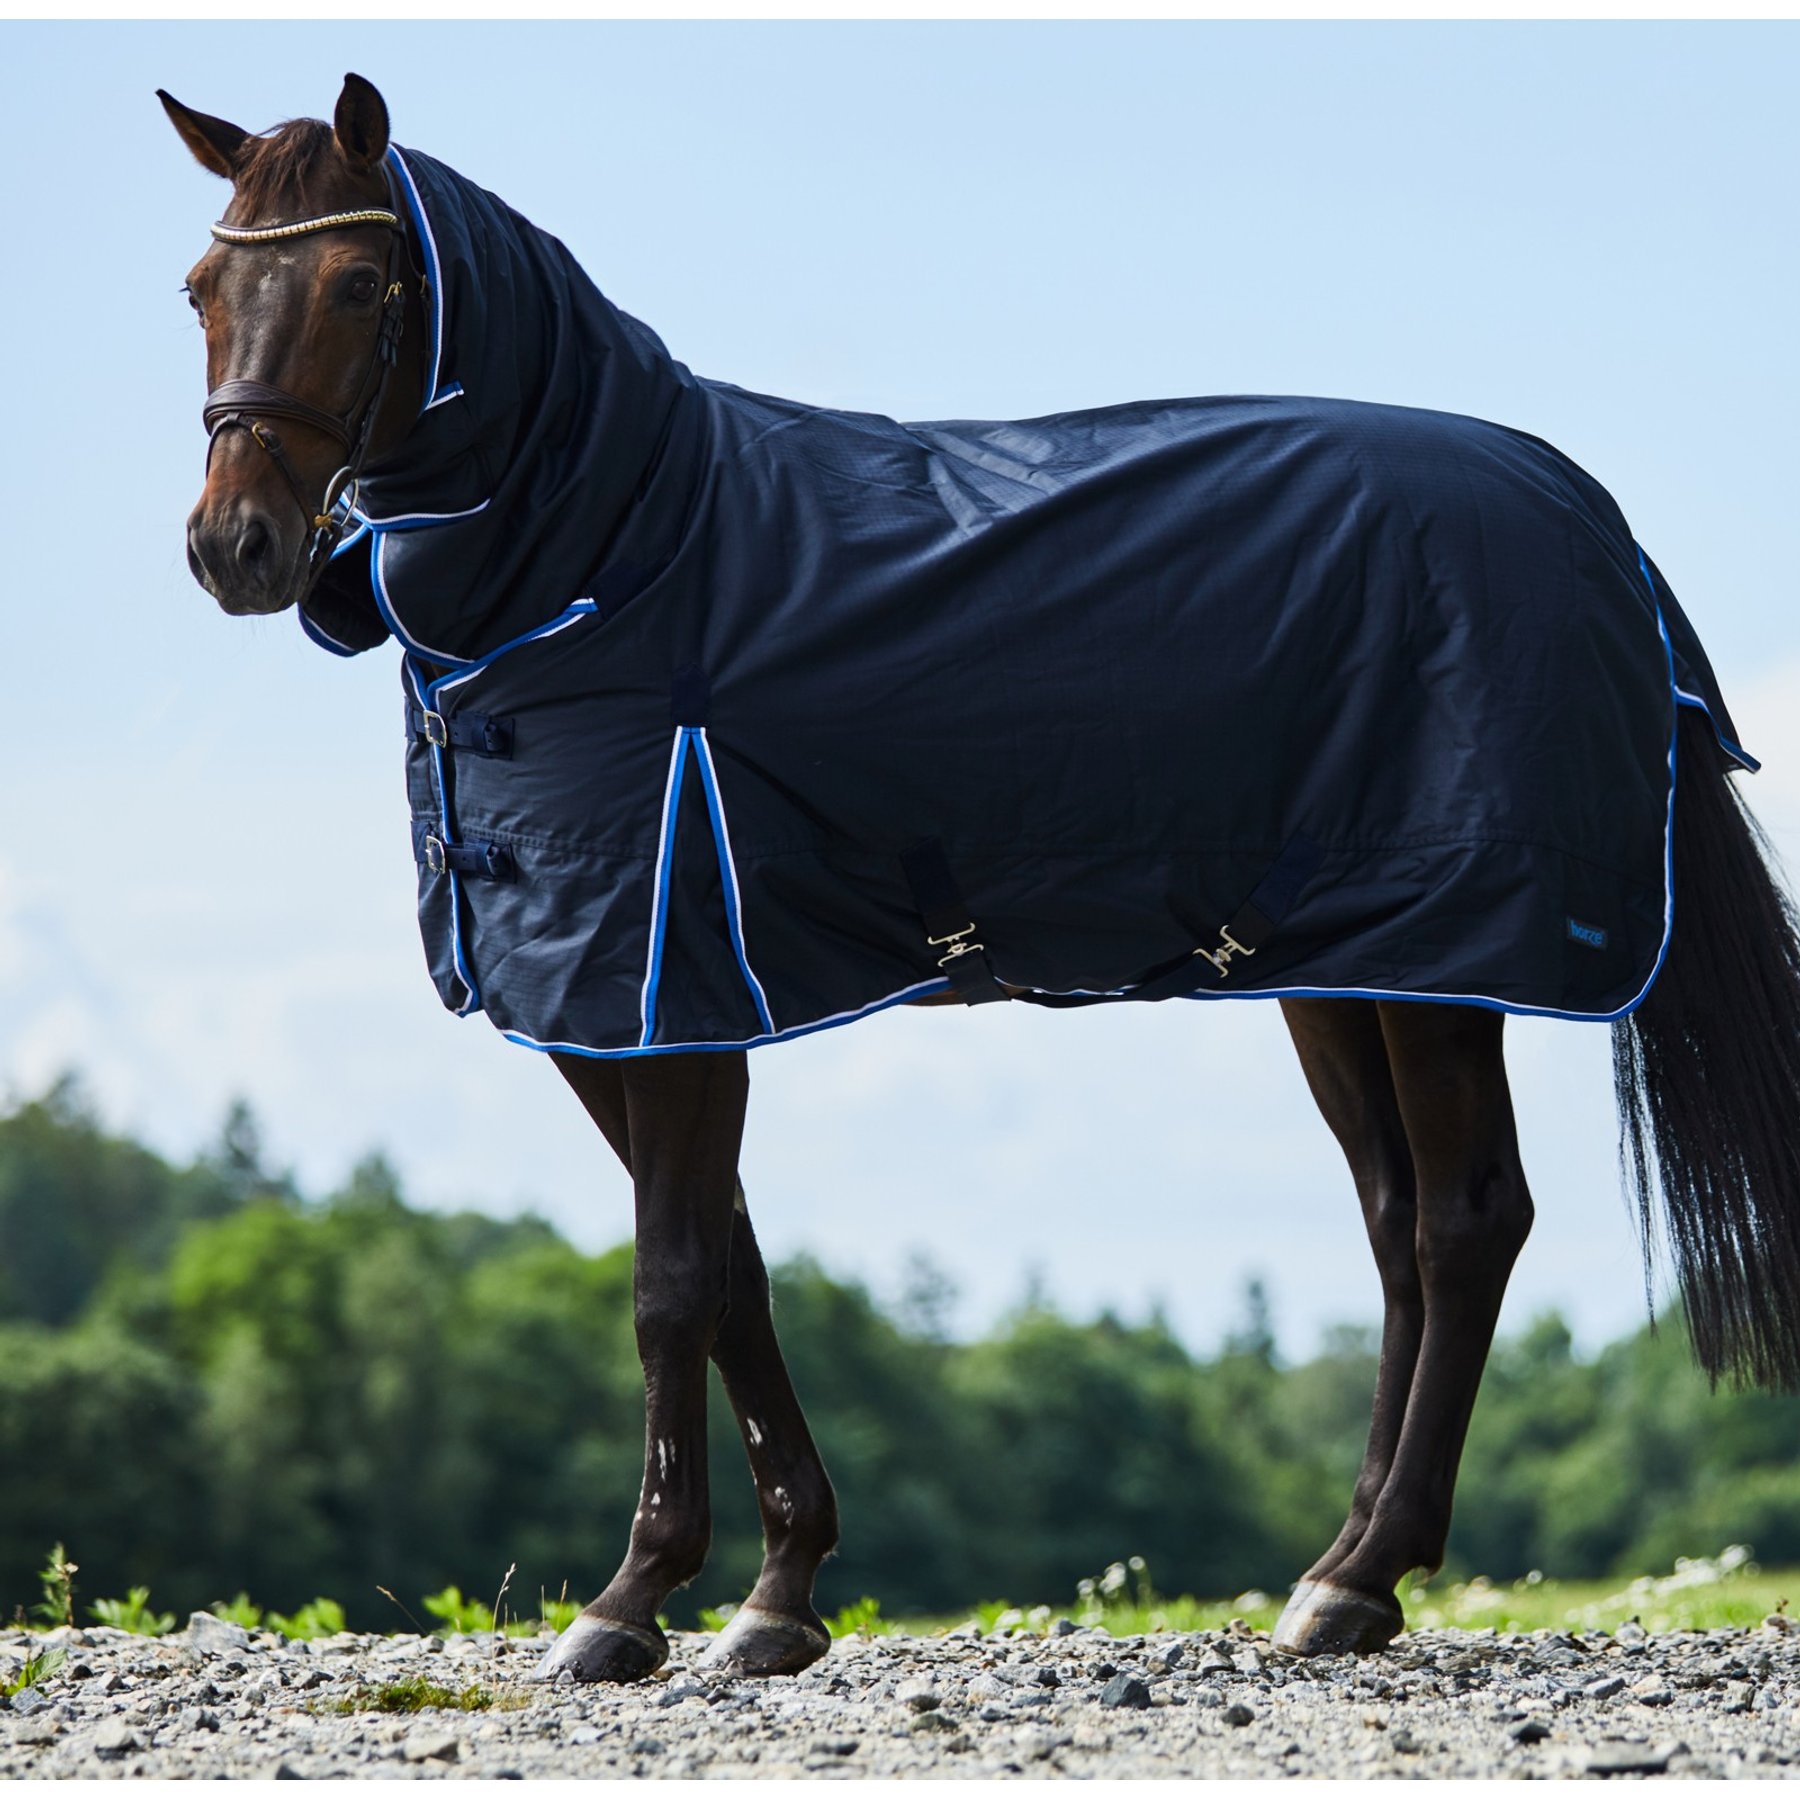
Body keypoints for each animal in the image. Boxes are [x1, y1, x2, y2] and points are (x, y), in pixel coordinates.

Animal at [162, 73, 1800, 1682]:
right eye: (200, 287)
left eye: (361, 280)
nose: (236, 547)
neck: (615, 555)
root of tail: (1592, 524)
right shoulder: (616, 1014)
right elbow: (734, 1268)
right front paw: (779, 1595)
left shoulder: (663, 980)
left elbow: (670, 1281)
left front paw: (631, 1603)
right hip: (1346, 968)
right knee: (1399, 1230)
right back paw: (1337, 1569)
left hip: (1444, 971)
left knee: (1465, 1226)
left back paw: (1361, 1583)